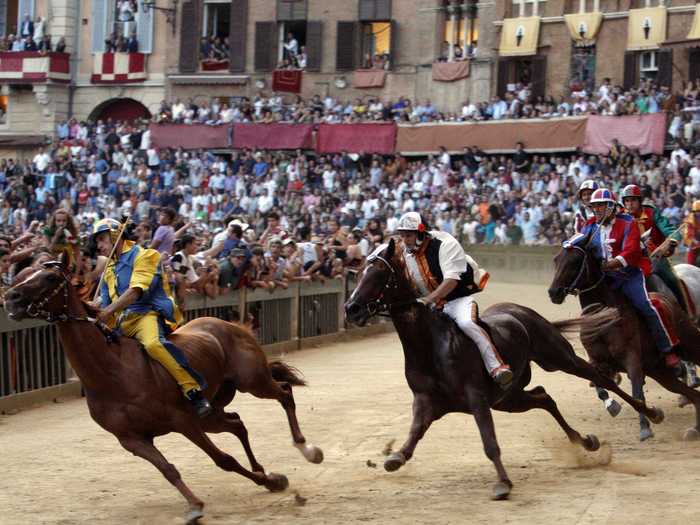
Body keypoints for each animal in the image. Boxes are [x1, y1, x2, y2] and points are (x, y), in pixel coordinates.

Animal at [2, 258, 324, 524]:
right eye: (22, 274)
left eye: (49, 277)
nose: (11, 297)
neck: (114, 374)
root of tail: (227, 324)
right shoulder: (131, 439)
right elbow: (169, 469)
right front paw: (199, 503)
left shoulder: (183, 421)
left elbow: (223, 460)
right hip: (212, 411)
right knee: (237, 423)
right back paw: (264, 472)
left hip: (252, 381)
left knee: (284, 393)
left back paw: (307, 448)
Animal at [344, 239, 660, 498]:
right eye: (358, 274)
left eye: (379, 274)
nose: (351, 308)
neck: (430, 346)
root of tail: (522, 312)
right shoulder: (426, 401)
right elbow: (414, 434)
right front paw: (395, 457)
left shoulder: (476, 397)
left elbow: (489, 441)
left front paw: (503, 483)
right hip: (508, 398)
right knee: (544, 396)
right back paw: (585, 441)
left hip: (559, 358)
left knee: (602, 380)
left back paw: (650, 414)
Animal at [548, 231, 700, 440]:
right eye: (556, 259)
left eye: (575, 261)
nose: (553, 292)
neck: (604, 317)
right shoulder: (597, 361)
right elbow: (600, 386)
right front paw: (613, 405)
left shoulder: (632, 360)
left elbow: (637, 392)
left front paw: (645, 427)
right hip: (659, 371)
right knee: (692, 393)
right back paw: (694, 426)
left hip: (690, 344)